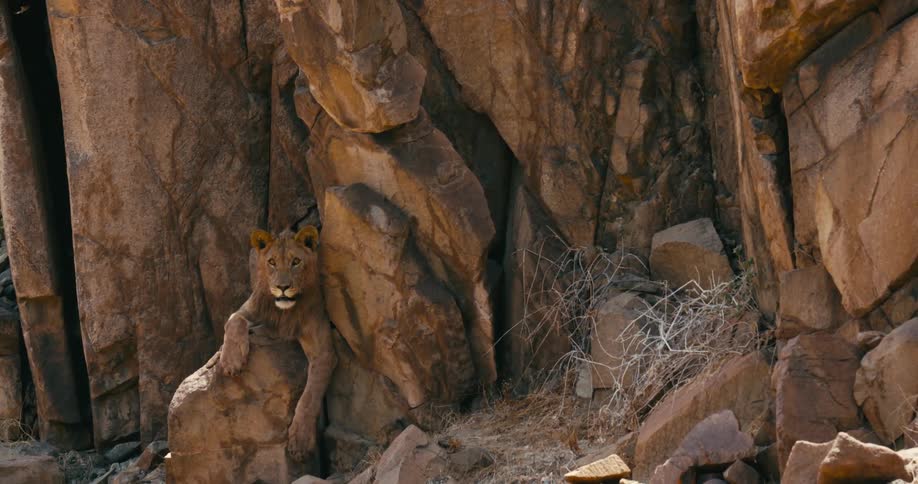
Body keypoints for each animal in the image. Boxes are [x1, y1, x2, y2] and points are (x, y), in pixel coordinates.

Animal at [217, 225, 337, 461]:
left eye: (296, 261)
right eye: (272, 262)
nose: (282, 287)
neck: (284, 312)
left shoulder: (323, 351)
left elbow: (309, 396)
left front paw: (300, 439)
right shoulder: (251, 308)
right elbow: (234, 320)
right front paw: (231, 361)